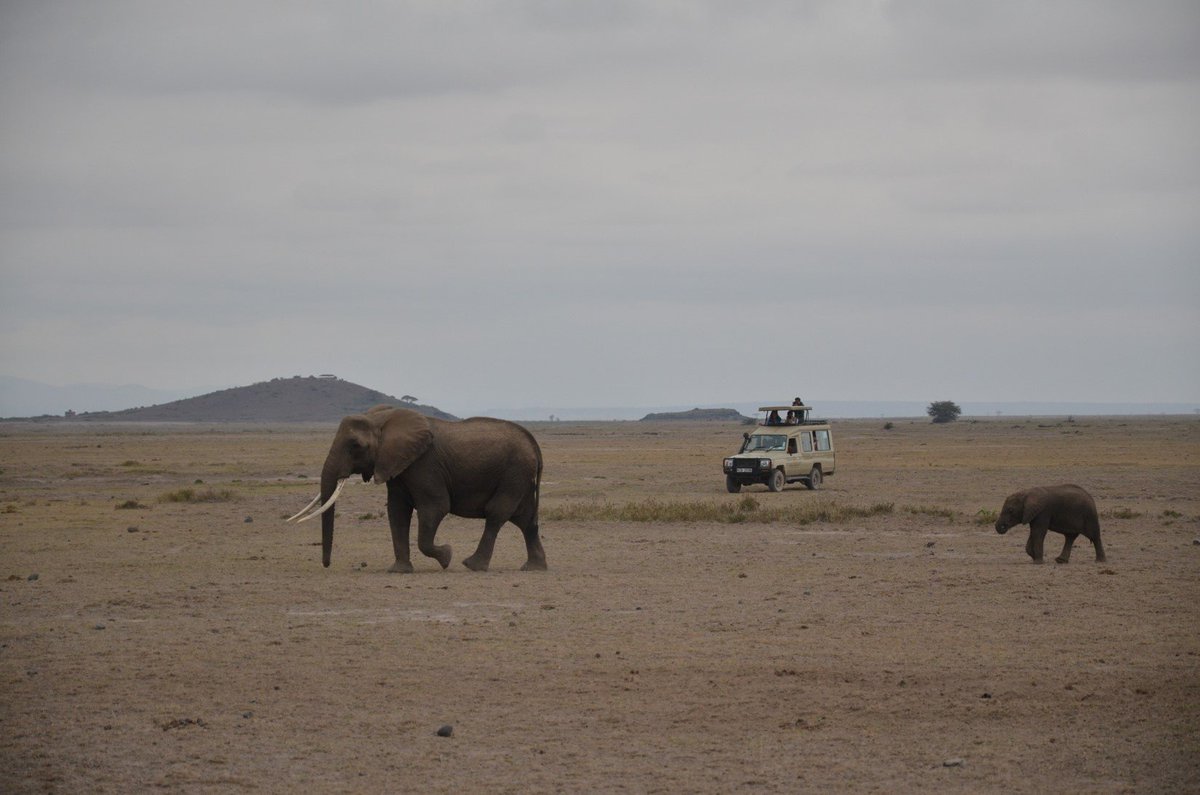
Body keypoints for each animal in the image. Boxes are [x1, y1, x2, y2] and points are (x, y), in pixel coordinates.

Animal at [288, 405, 547, 573]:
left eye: (356, 445)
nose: (327, 565)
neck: (383, 420)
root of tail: (533, 443)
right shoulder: (397, 467)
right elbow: (396, 512)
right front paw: (399, 571)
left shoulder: (425, 466)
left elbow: (436, 508)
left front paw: (446, 556)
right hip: (519, 478)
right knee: (526, 520)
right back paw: (533, 568)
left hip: (514, 473)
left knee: (496, 514)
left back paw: (472, 565)